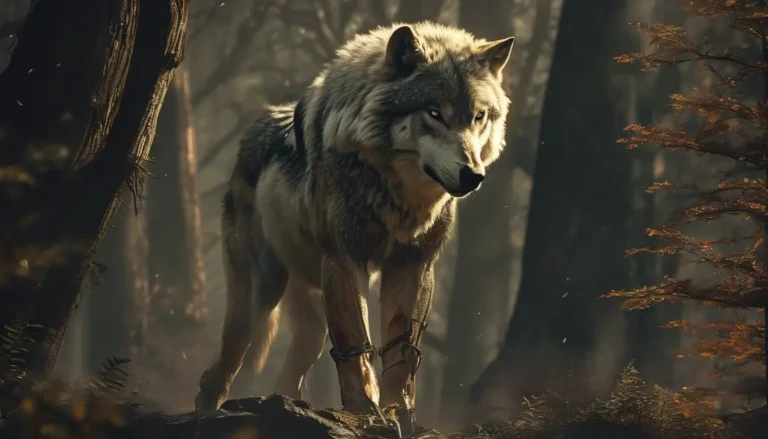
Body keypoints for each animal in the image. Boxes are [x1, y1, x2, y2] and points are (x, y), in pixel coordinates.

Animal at [195, 21, 514, 426]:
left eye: (478, 117)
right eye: (434, 113)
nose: (473, 174)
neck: (399, 196)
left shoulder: (413, 264)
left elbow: (400, 349)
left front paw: (400, 413)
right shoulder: (345, 260)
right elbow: (355, 344)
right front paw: (367, 411)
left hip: (311, 321)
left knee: (290, 372)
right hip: (259, 296)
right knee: (221, 369)